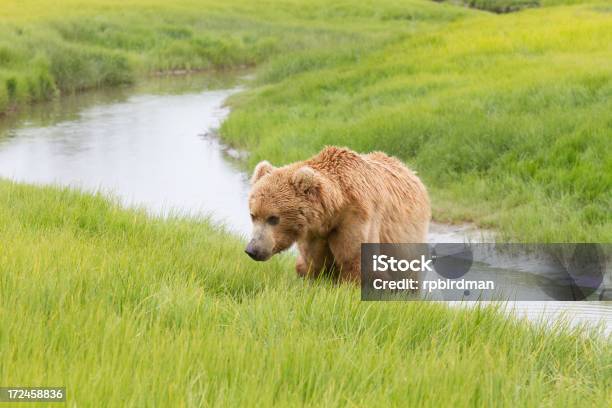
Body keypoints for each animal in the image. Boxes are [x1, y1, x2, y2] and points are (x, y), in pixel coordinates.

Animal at [244, 147, 430, 284]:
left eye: (273, 218)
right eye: (253, 215)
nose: (252, 250)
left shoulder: (356, 219)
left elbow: (355, 262)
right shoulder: (315, 234)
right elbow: (313, 264)